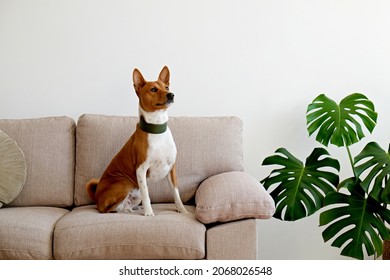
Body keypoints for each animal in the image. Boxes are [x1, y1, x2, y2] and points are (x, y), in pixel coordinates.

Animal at [85, 66, 189, 215]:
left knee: (124, 205)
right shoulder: (141, 169)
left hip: (134, 190)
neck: (157, 129)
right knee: (110, 209)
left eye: (167, 87)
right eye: (153, 89)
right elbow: (147, 196)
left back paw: (132, 209)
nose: (171, 94)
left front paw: (183, 211)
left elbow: (176, 194)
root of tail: (96, 197)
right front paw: (149, 213)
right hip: (124, 182)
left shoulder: (171, 169)